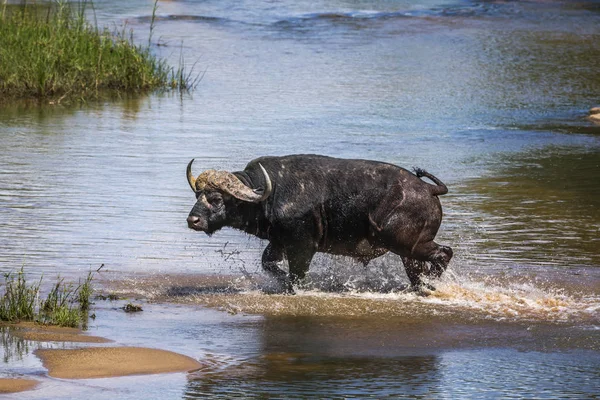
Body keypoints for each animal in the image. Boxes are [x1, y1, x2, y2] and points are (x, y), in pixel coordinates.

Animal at [185, 154, 452, 294]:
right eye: (198, 195)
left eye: (217, 199)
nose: (193, 220)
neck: (270, 195)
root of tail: (428, 189)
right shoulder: (278, 243)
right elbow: (269, 264)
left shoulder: (302, 247)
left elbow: (297, 275)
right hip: (408, 253)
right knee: (420, 269)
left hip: (406, 243)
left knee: (444, 253)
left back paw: (433, 282)